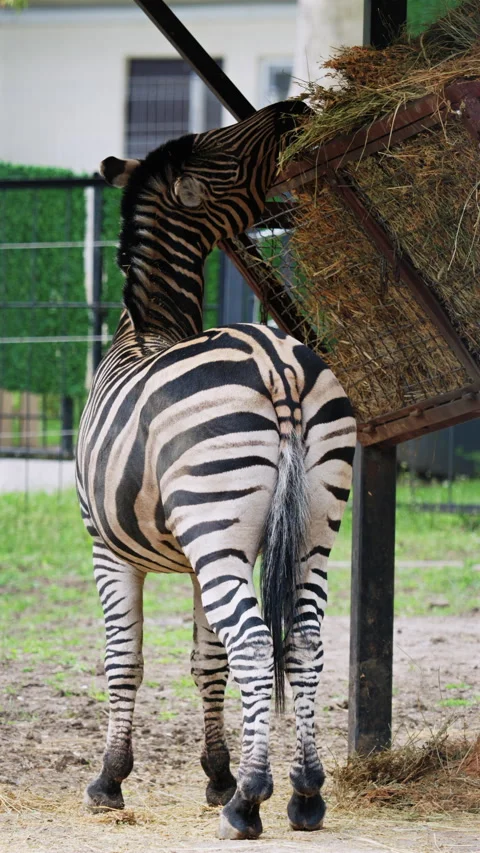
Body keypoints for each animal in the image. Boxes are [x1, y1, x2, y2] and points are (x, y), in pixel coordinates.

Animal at [75, 99, 356, 840]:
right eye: (222, 148)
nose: (296, 109)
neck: (148, 329)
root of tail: (275, 360)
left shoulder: (106, 547)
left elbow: (125, 658)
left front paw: (111, 780)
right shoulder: (207, 551)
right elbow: (207, 660)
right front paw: (216, 772)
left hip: (218, 523)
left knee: (257, 643)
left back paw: (250, 802)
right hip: (307, 524)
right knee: (303, 640)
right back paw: (305, 792)